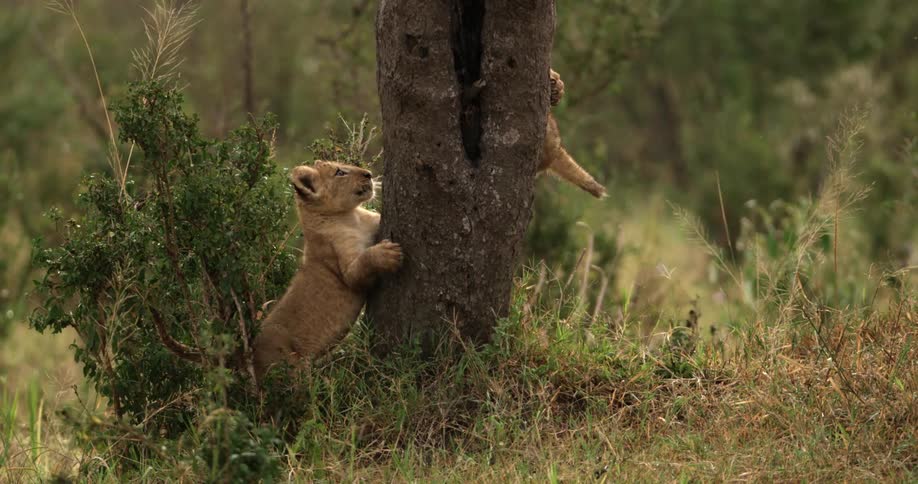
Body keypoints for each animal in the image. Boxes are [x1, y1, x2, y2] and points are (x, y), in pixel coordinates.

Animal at [251, 161, 402, 381]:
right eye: (340, 172)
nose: (368, 174)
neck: (351, 217)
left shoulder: (373, 220)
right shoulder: (348, 273)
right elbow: (363, 264)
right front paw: (387, 254)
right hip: (290, 365)